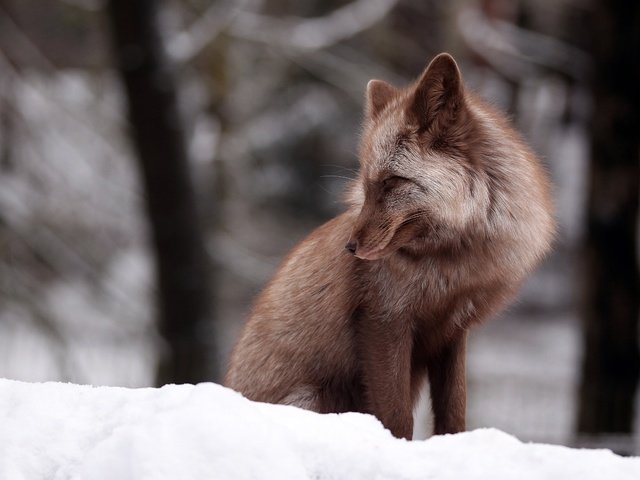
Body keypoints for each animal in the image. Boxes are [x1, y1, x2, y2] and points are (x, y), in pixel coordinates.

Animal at [226, 52, 556, 438]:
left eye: (392, 182)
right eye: (367, 185)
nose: (350, 248)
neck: (452, 268)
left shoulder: (452, 331)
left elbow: (453, 414)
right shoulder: (383, 320)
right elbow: (397, 417)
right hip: (315, 397)